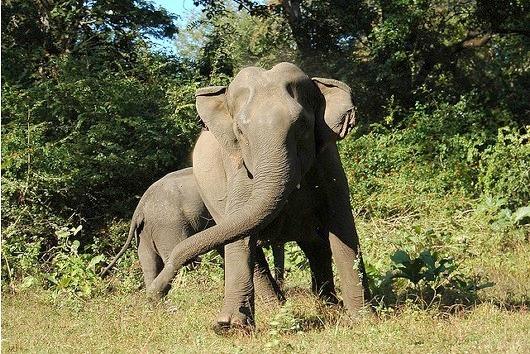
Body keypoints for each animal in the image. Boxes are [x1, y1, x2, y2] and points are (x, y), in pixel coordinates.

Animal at [144, 61, 368, 330]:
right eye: (240, 131)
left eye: (302, 125)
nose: (153, 295)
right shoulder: (238, 171)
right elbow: (240, 233)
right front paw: (229, 326)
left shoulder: (329, 165)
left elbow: (342, 229)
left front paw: (363, 319)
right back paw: (279, 310)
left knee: (315, 245)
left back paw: (327, 306)